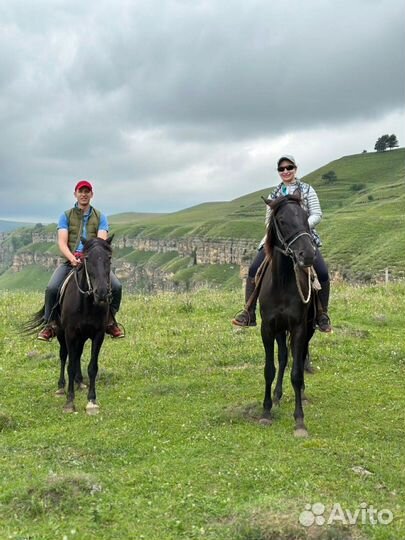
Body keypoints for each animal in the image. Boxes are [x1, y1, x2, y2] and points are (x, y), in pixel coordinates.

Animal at [27, 236, 112, 414]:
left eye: (109, 258)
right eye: (87, 258)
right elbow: (70, 366)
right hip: (61, 333)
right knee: (64, 356)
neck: (86, 303)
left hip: (82, 336)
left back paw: (80, 383)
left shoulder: (98, 334)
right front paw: (69, 402)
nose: (101, 293)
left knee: (77, 355)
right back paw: (61, 388)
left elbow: (92, 367)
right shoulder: (70, 333)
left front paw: (92, 401)